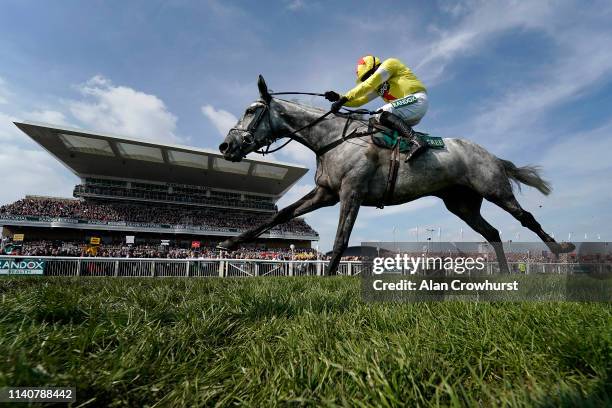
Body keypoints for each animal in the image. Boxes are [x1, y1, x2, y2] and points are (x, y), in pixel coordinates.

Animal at [218, 76, 576, 274]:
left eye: (251, 110)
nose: (226, 145)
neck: (332, 138)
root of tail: (491, 155)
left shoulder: (351, 191)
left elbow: (341, 238)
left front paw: (329, 276)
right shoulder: (326, 193)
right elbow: (278, 217)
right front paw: (230, 242)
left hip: (494, 189)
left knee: (526, 218)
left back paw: (560, 249)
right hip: (462, 205)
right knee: (493, 233)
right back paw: (502, 273)